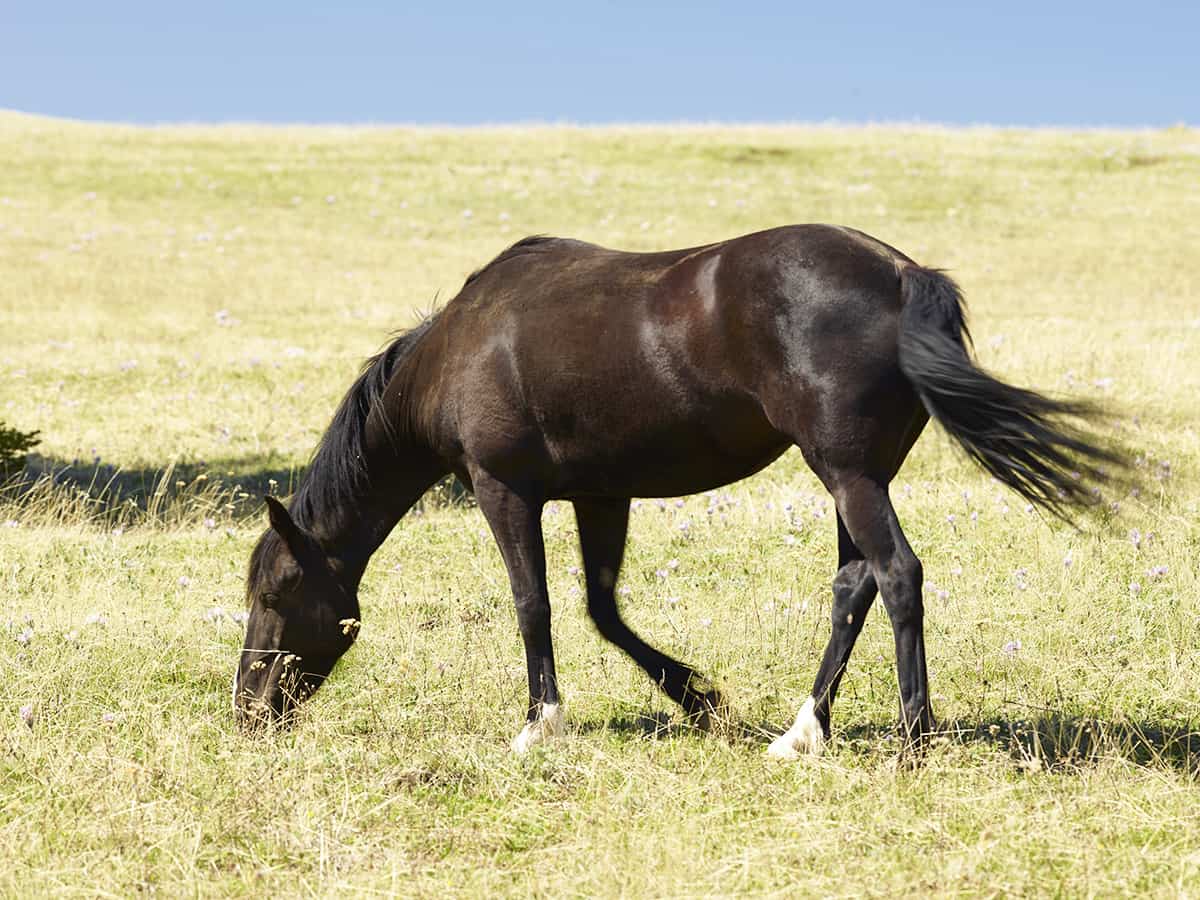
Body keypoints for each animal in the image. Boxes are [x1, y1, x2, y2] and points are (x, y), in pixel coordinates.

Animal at [233, 224, 1122, 756]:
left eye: (276, 594)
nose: (247, 709)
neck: (459, 347)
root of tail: (905, 276)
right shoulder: (600, 494)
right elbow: (602, 608)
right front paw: (699, 699)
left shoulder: (502, 488)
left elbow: (534, 604)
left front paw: (539, 724)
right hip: (856, 476)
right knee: (854, 585)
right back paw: (804, 731)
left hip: (847, 472)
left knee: (897, 575)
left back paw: (913, 737)